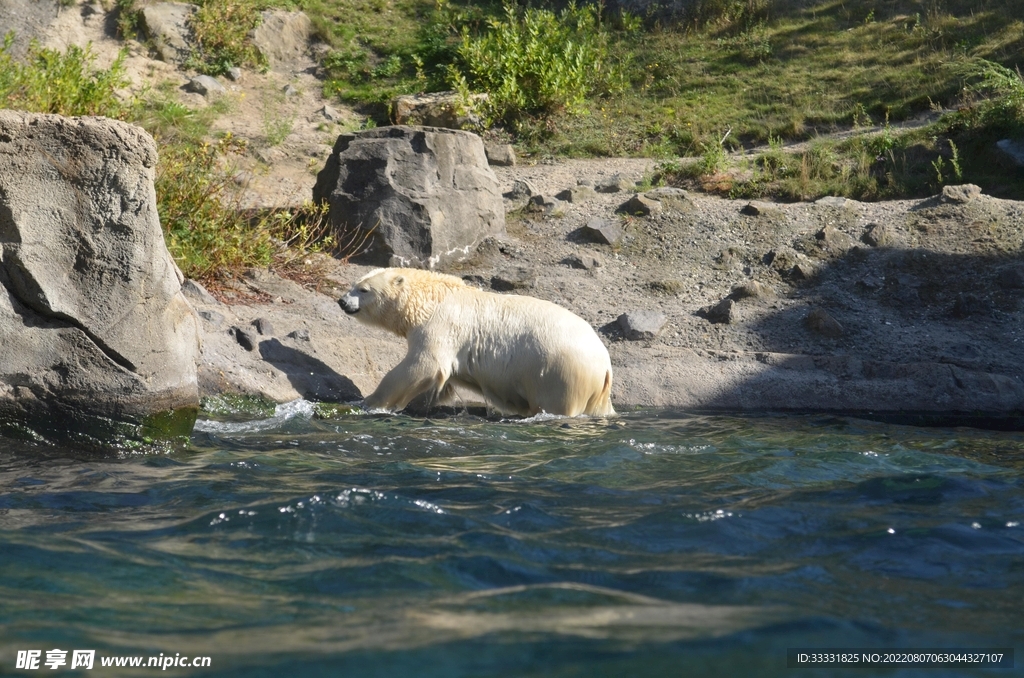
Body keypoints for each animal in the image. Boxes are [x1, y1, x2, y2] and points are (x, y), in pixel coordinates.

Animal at [342, 266, 614, 417]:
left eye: (363, 290)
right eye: (354, 285)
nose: (342, 301)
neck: (431, 298)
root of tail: (605, 364)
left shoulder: (442, 324)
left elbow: (423, 365)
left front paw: (369, 402)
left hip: (559, 373)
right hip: (594, 389)